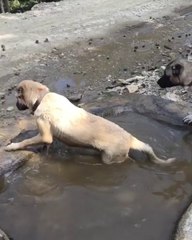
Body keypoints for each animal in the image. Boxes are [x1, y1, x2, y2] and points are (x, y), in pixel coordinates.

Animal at [4, 80, 176, 165]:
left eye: (17, 98)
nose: (16, 106)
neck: (41, 98)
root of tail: (129, 137)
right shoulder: (47, 136)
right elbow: (45, 144)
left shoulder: (45, 133)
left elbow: (26, 140)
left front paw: (12, 146)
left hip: (110, 158)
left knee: (127, 160)